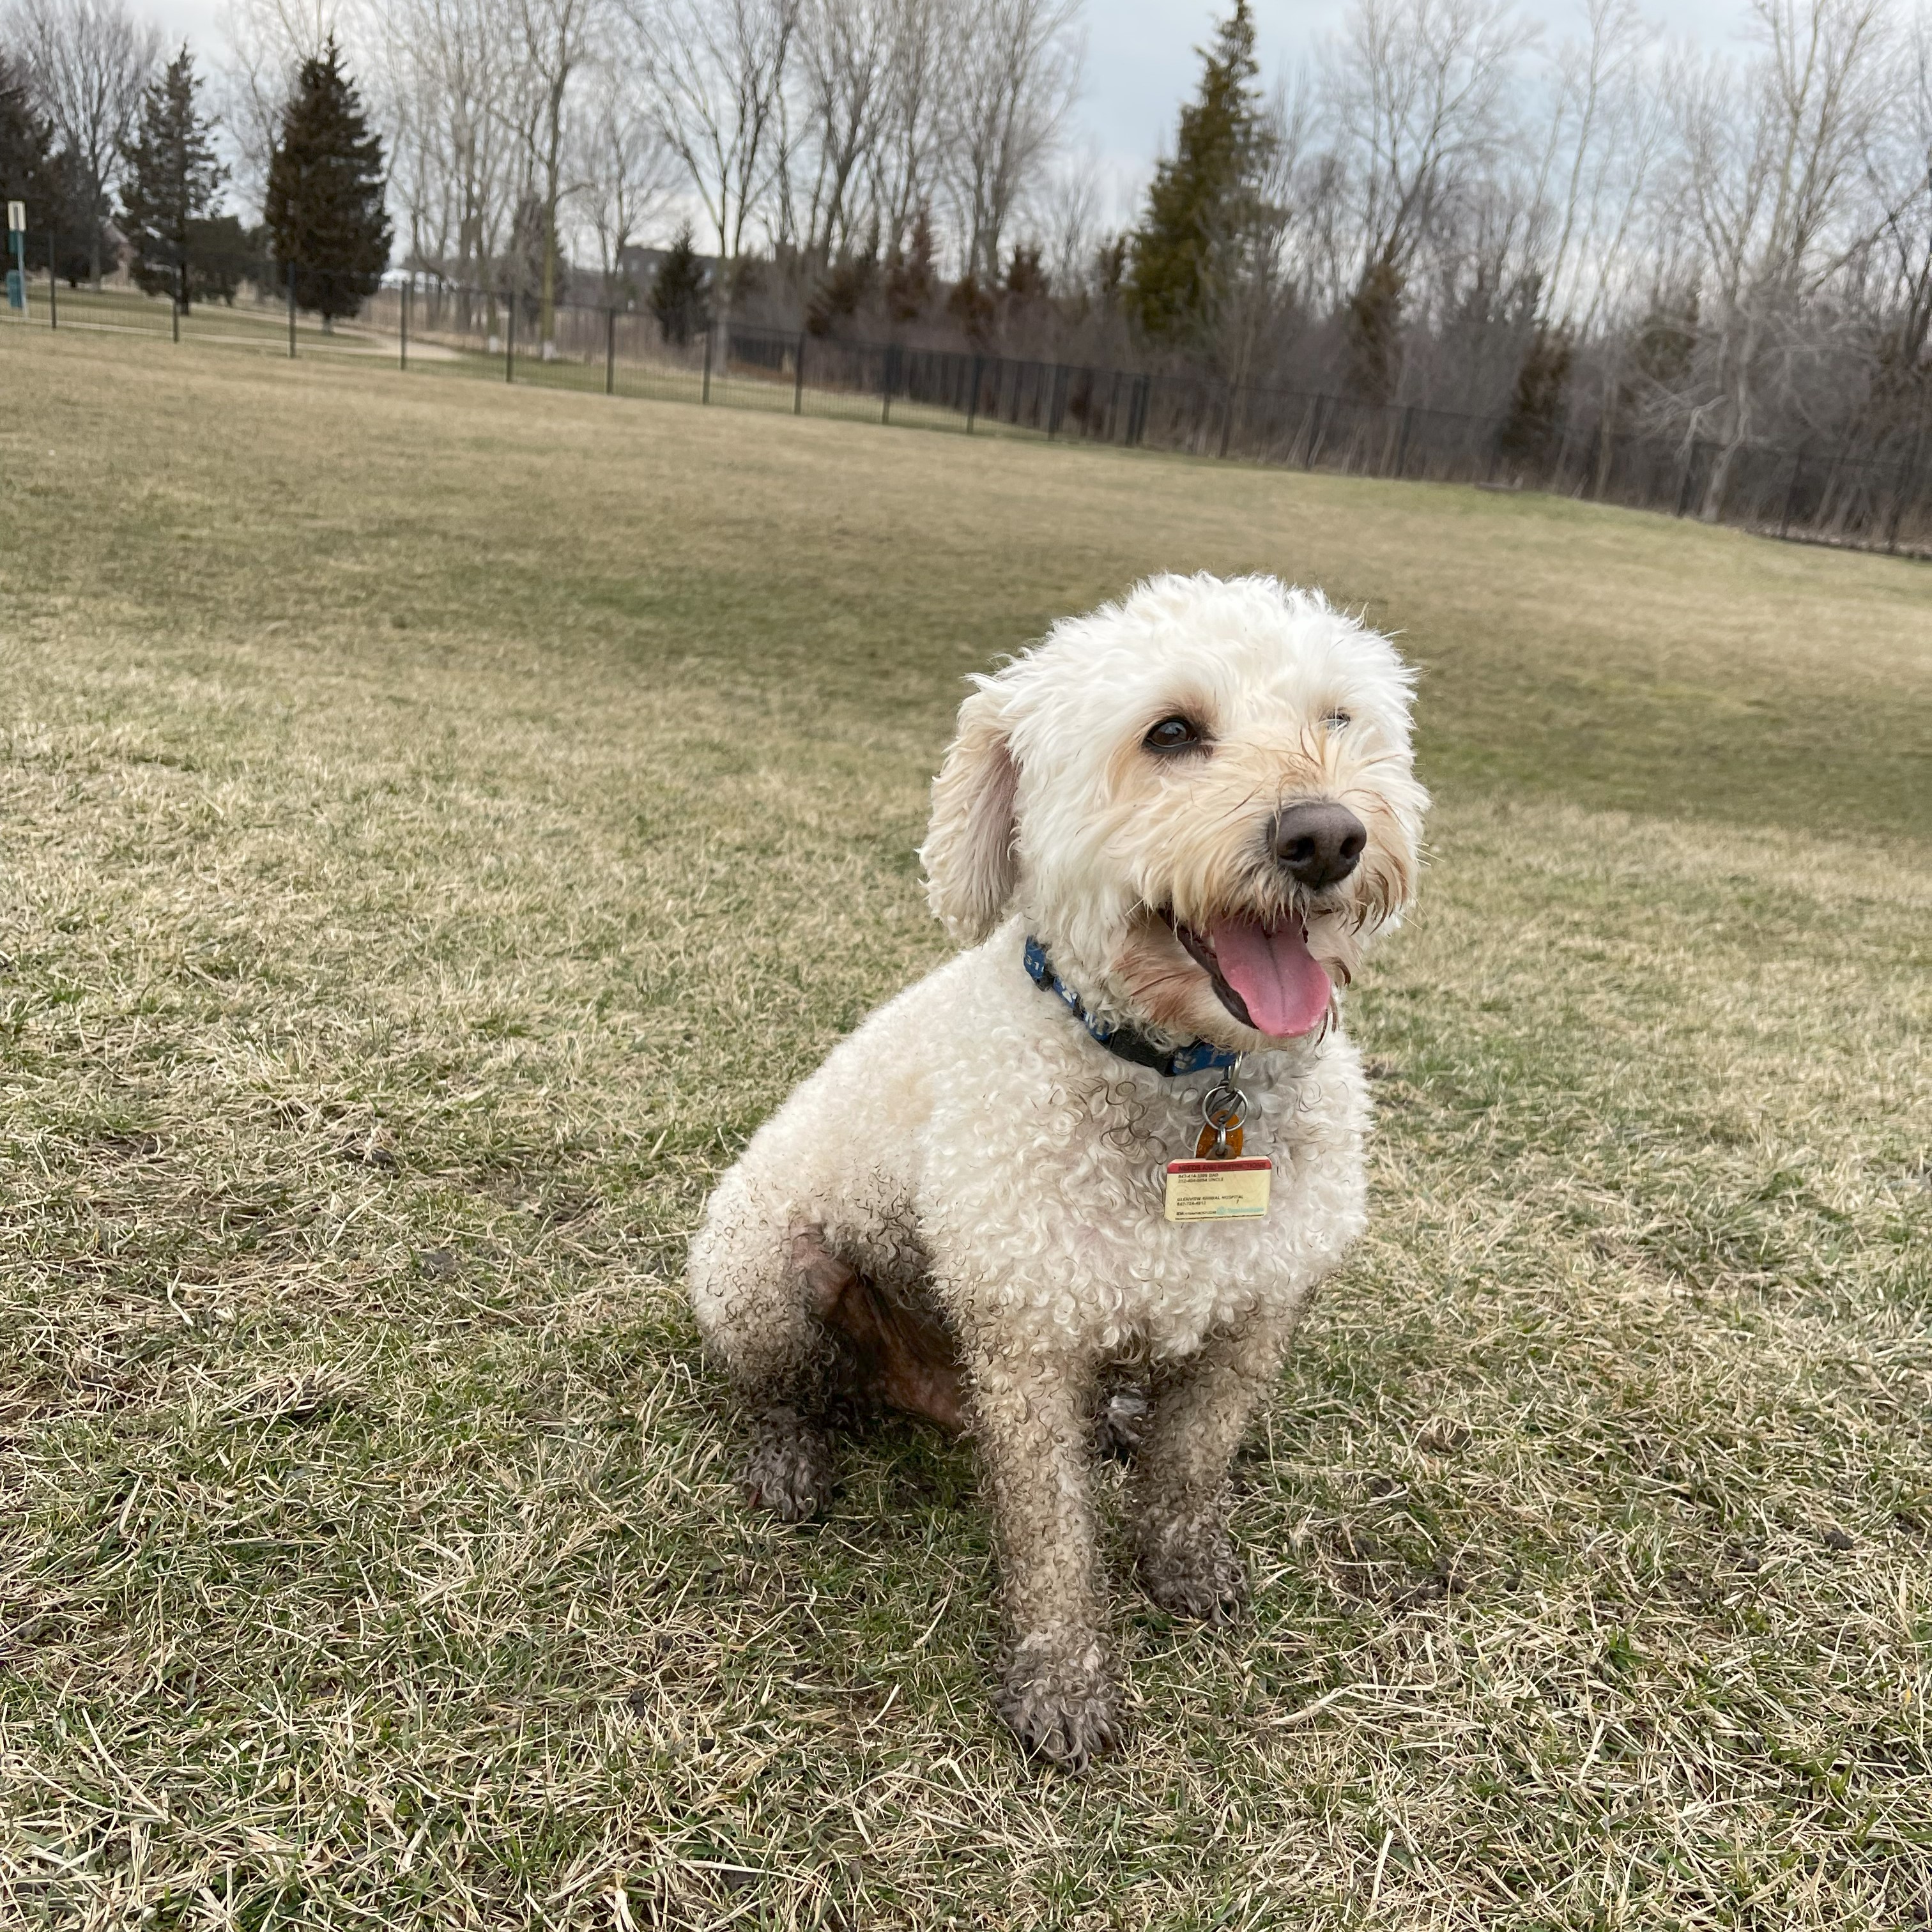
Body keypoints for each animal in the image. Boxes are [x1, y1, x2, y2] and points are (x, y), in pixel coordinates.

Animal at [687, 572, 1429, 1769]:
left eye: (1338, 717)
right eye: (1170, 732)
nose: (1327, 836)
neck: (1188, 1076)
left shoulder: (1257, 1306)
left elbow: (1190, 1464)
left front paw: (1182, 1565)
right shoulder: (1026, 1341)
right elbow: (1052, 1542)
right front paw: (1061, 1680)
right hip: (763, 1275)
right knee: (785, 1390)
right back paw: (789, 1459)